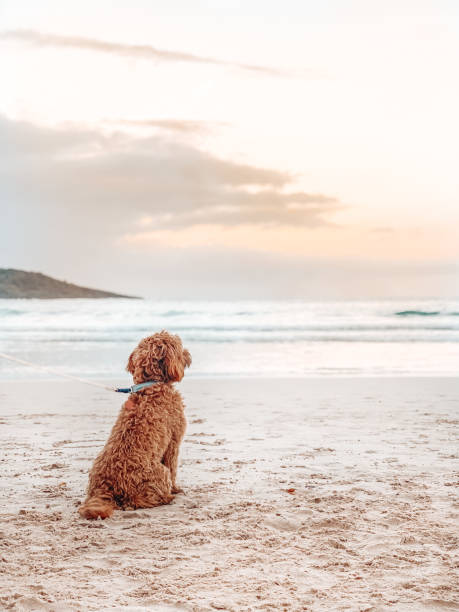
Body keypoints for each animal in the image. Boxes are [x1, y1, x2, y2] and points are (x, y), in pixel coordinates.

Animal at [79, 332, 190, 520]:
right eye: (179, 346)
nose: (188, 354)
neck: (150, 385)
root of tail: (106, 488)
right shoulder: (173, 443)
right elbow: (173, 467)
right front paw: (176, 489)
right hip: (160, 472)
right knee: (147, 498)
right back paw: (168, 497)